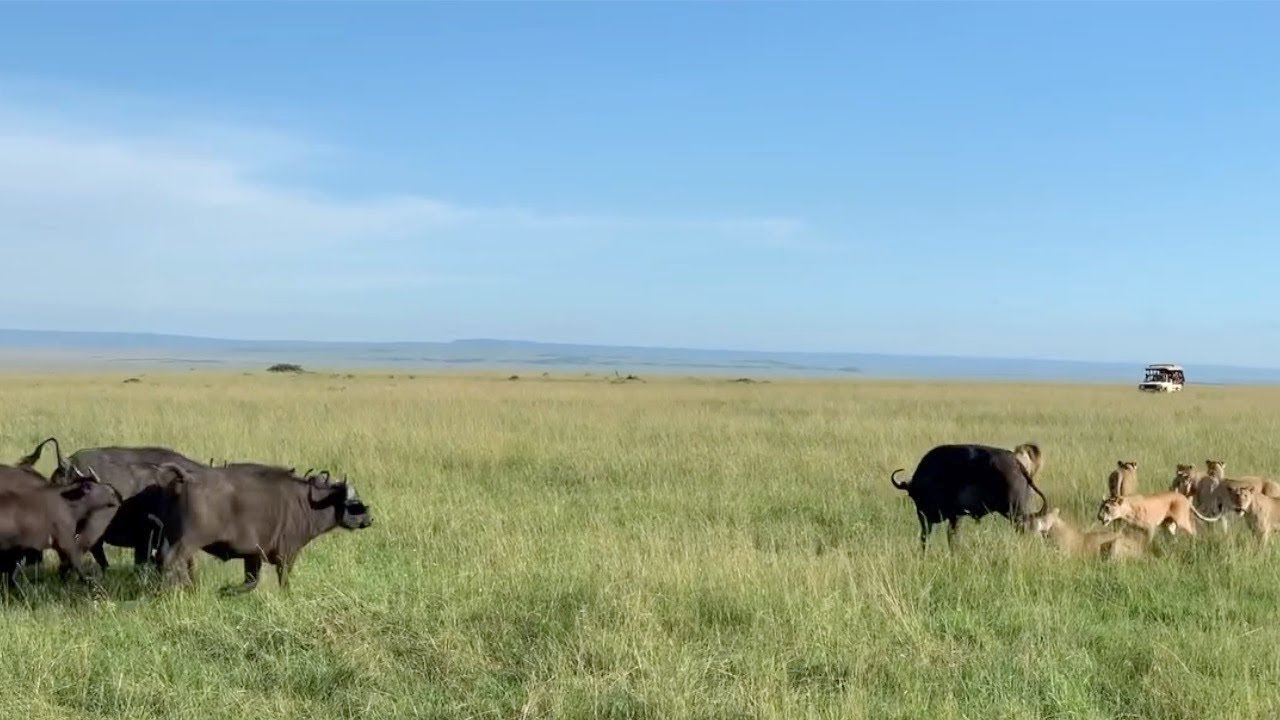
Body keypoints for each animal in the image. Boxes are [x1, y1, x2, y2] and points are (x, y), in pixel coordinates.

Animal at [157, 463, 373, 594]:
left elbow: (251, 582)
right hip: (188, 542)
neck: (307, 504)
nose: (369, 519)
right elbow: (283, 582)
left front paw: (226, 591)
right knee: (171, 562)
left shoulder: (252, 556)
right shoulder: (287, 555)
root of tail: (188, 478)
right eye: (356, 504)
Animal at [890, 442, 1049, 550]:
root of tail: (1016, 463)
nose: (922, 506)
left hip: (1015, 512)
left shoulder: (948, 516)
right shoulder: (951, 517)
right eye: (912, 495)